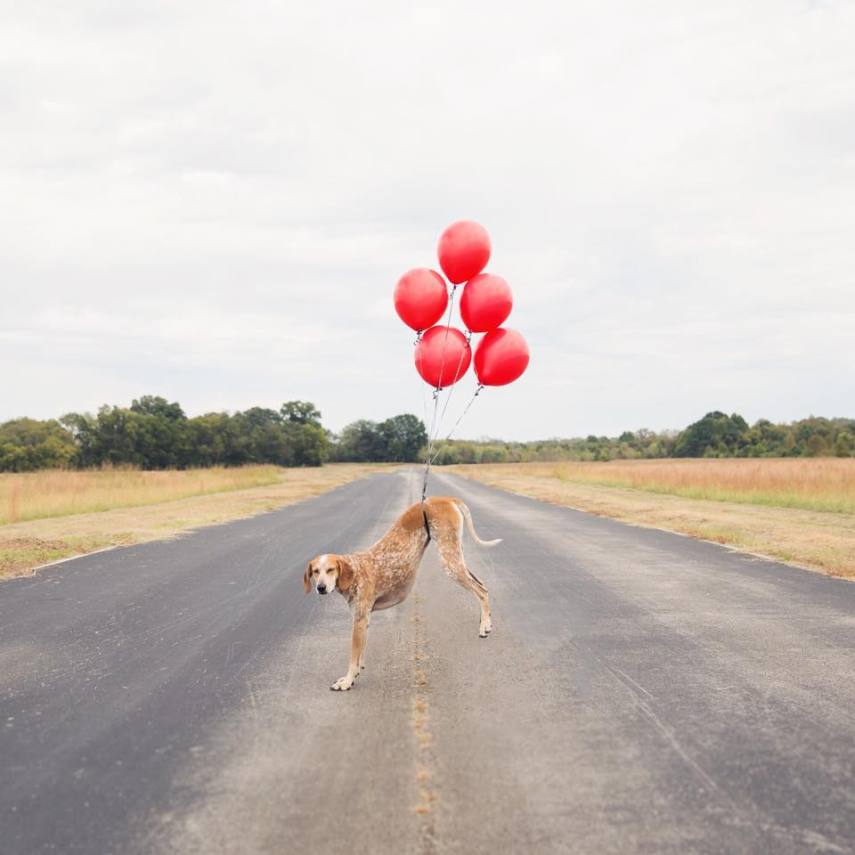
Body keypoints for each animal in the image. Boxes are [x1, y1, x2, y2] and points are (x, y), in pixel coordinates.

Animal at [304, 498, 502, 692]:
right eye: (315, 571)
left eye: (330, 570)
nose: (321, 587)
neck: (355, 571)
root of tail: (444, 498)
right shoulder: (364, 619)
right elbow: (361, 655)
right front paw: (354, 676)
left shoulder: (359, 620)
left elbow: (353, 658)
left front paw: (347, 681)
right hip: (457, 557)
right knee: (482, 585)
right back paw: (486, 621)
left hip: (450, 562)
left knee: (481, 591)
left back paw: (484, 625)